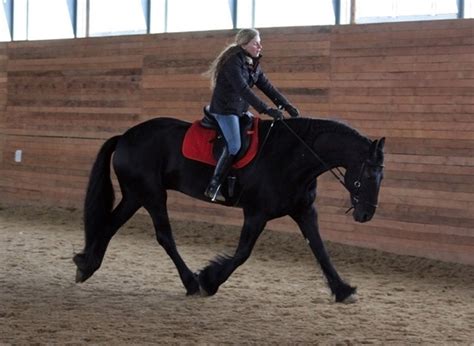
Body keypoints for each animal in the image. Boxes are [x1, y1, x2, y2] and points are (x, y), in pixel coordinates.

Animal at [74, 116, 386, 302]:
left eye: (382, 176)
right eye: (369, 175)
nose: (366, 214)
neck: (291, 157)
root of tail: (125, 136)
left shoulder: (304, 211)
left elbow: (320, 250)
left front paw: (343, 290)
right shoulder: (257, 213)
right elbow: (243, 253)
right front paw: (210, 280)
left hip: (135, 195)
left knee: (109, 225)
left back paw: (86, 265)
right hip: (152, 195)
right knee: (164, 236)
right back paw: (191, 282)